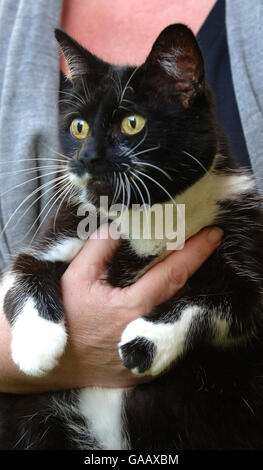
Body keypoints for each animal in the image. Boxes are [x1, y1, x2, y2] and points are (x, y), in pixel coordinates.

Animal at [0, 23, 263, 450]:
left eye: (132, 123)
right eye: (78, 126)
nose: (87, 157)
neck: (150, 213)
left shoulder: (245, 245)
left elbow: (219, 300)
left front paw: (144, 343)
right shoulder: (65, 224)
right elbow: (24, 271)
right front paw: (37, 347)